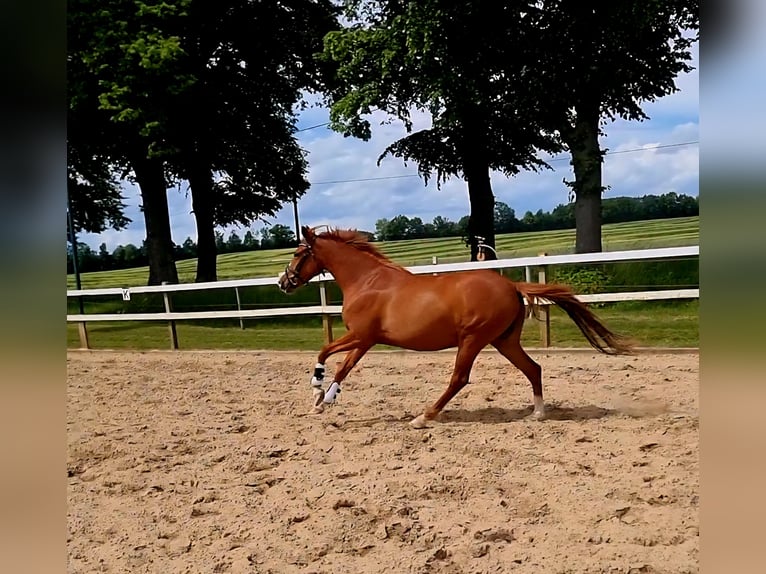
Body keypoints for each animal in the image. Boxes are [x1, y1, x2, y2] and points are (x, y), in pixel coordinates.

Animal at [278, 226, 635, 428]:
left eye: (298, 252)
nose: (284, 282)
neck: (368, 281)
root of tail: (512, 285)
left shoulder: (363, 336)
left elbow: (331, 357)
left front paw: (320, 393)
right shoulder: (365, 339)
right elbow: (335, 361)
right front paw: (321, 399)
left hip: (473, 339)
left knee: (459, 379)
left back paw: (423, 417)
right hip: (504, 341)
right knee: (533, 368)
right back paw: (537, 414)